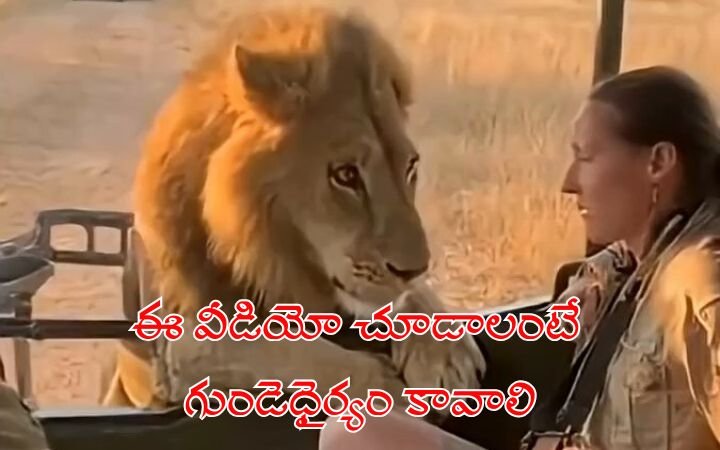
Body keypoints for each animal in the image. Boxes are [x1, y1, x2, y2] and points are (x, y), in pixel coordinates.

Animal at [101, 6, 486, 417]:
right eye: (345, 174)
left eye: (410, 166)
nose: (414, 269)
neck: (270, 254)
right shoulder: (180, 346)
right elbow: (278, 348)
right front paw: (385, 390)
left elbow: (410, 297)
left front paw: (447, 354)